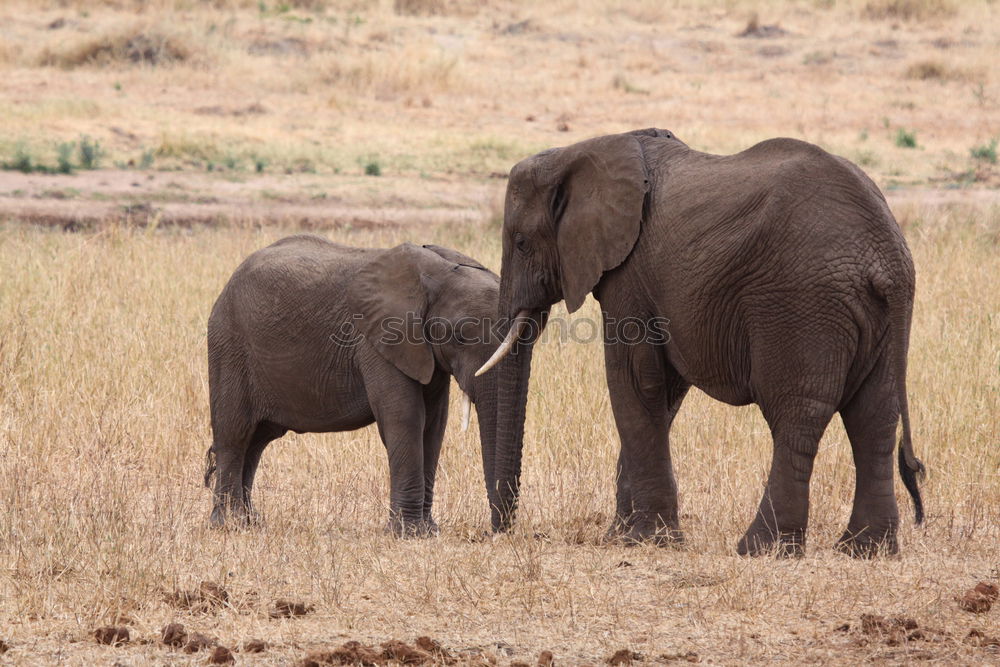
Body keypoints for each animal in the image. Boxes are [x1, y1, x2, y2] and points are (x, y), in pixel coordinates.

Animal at [205, 236, 500, 536]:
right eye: (460, 335)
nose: (492, 531)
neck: (438, 272)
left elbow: (434, 425)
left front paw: (428, 532)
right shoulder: (378, 340)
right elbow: (405, 417)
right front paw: (407, 533)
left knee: (257, 441)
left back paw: (250, 522)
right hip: (229, 346)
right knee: (236, 435)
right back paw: (230, 524)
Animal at [480, 128, 924, 556]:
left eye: (521, 243)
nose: (502, 531)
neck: (577, 152)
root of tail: (885, 255)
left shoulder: (630, 273)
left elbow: (635, 380)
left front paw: (648, 540)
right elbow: (665, 391)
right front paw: (621, 537)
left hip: (802, 304)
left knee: (798, 416)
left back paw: (761, 548)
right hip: (879, 317)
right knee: (874, 416)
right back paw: (865, 549)